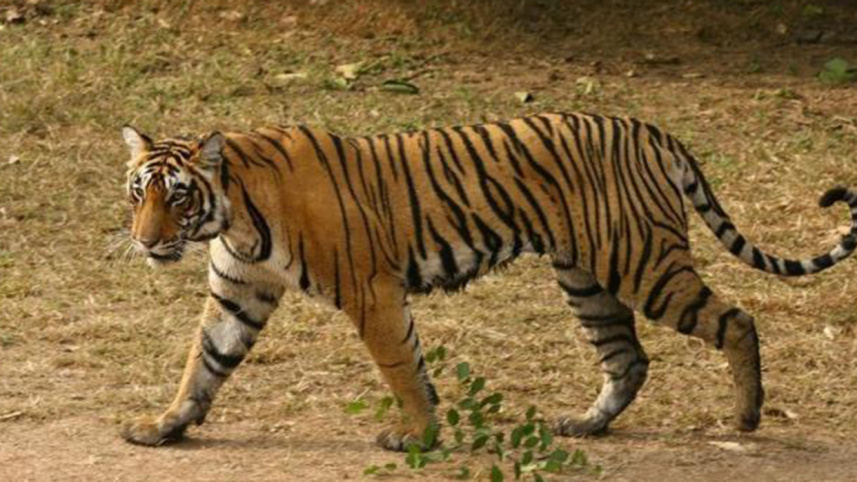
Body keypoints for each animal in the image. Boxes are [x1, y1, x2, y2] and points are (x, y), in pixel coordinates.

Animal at [119, 112, 857, 451]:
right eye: (138, 192)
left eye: (177, 196)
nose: (146, 241)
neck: (233, 214)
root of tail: (651, 130)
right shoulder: (237, 292)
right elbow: (203, 364)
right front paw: (164, 426)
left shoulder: (371, 291)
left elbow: (400, 367)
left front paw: (417, 437)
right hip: (586, 278)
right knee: (629, 358)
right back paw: (585, 424)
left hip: (644, 264)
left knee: (736, 320)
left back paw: (746, 416)